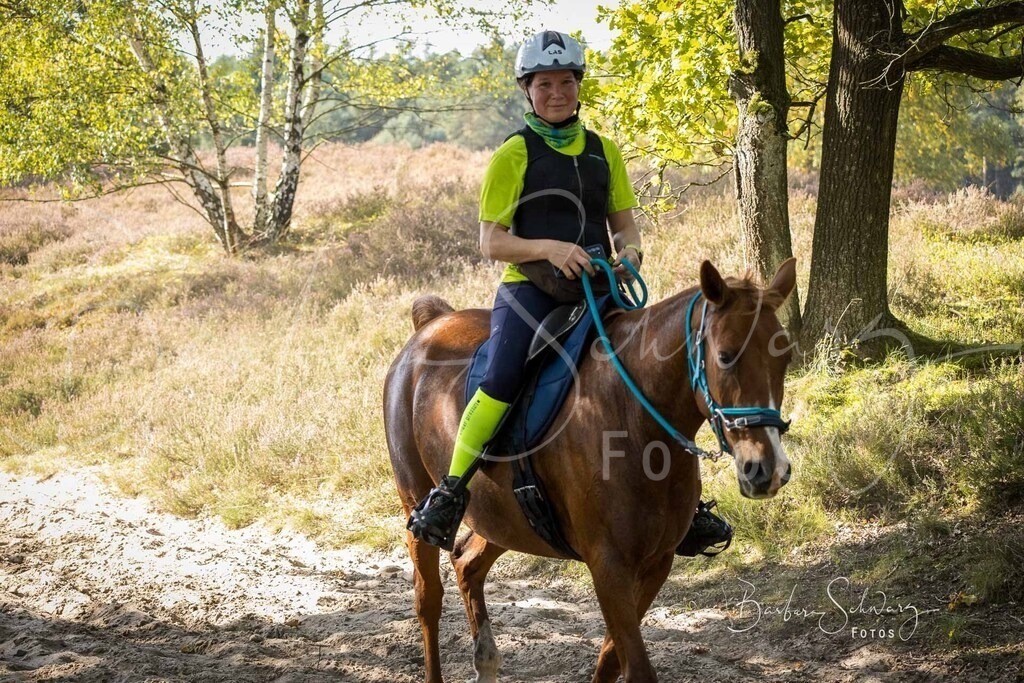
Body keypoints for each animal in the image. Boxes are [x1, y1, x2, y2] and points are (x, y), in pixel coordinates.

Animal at [383, 258, 797, 683]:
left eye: (785, 359)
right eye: (726, 356)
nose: (768, 469)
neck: (633, 419)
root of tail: (433, 325)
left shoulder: (656, 563)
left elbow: (612, 660)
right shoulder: (608, 566)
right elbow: (636, 667)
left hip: (504, 517)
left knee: (467, 562)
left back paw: (487, 661)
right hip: (416, 504)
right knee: (428, 600)